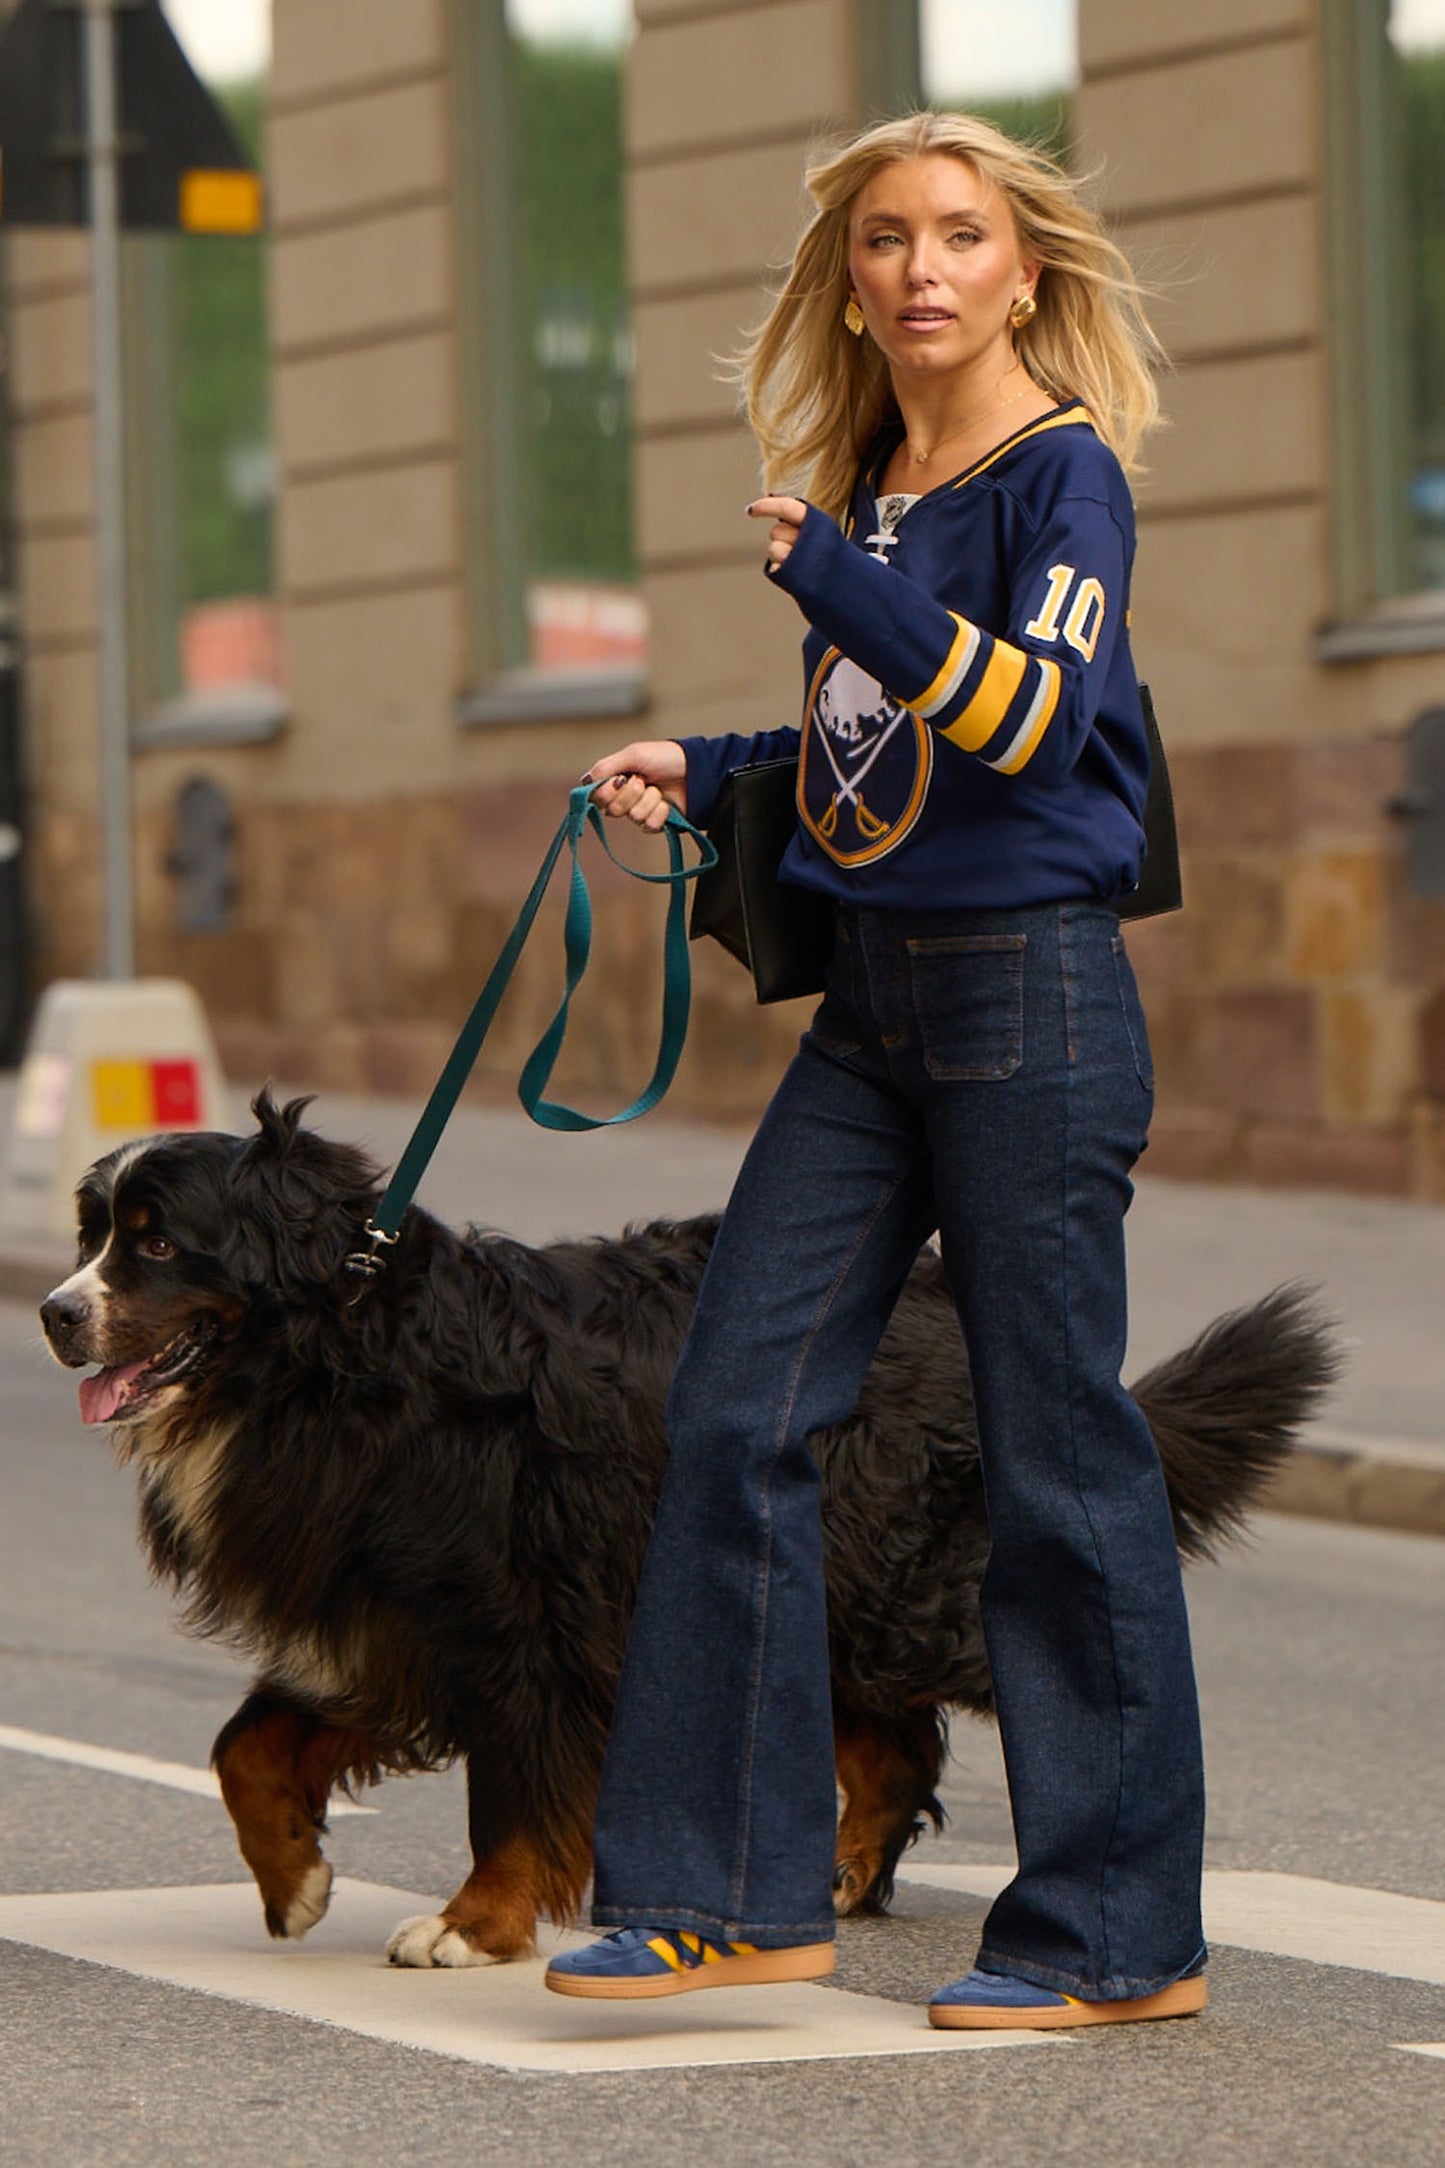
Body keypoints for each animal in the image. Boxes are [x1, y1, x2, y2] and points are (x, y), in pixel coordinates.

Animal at [39, 1084, 1343, 1968]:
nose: (54, 1312)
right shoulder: (377, 1608)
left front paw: (473, 1924)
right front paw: (295, 1876)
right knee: (890, 1744)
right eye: (90, 1231)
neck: (335, 1362)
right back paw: (842, 1871)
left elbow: (508, 1796)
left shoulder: (520, 1626)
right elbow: (245, 1743)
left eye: (158, 1240)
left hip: (909, 1585)